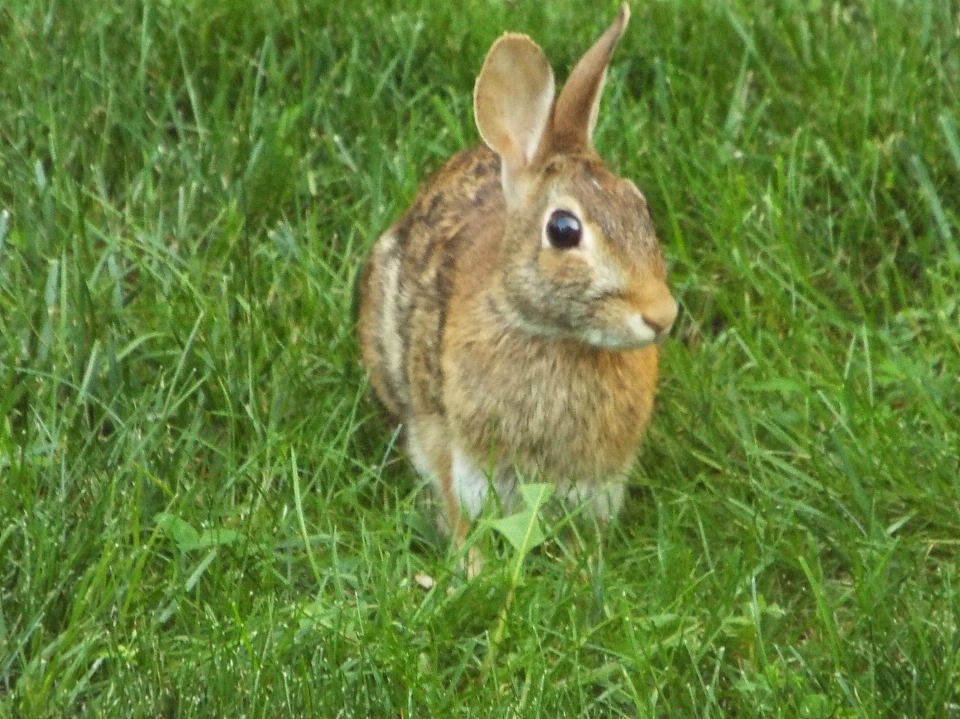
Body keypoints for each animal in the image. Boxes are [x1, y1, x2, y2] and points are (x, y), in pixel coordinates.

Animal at [356, 4, 680, 568]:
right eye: (564, 230)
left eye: (640, 206)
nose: (662, 315)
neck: (553, 335)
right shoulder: (450, 447)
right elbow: (455, 504)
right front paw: (470, 567)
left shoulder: (596, 480)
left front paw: (582, 568)